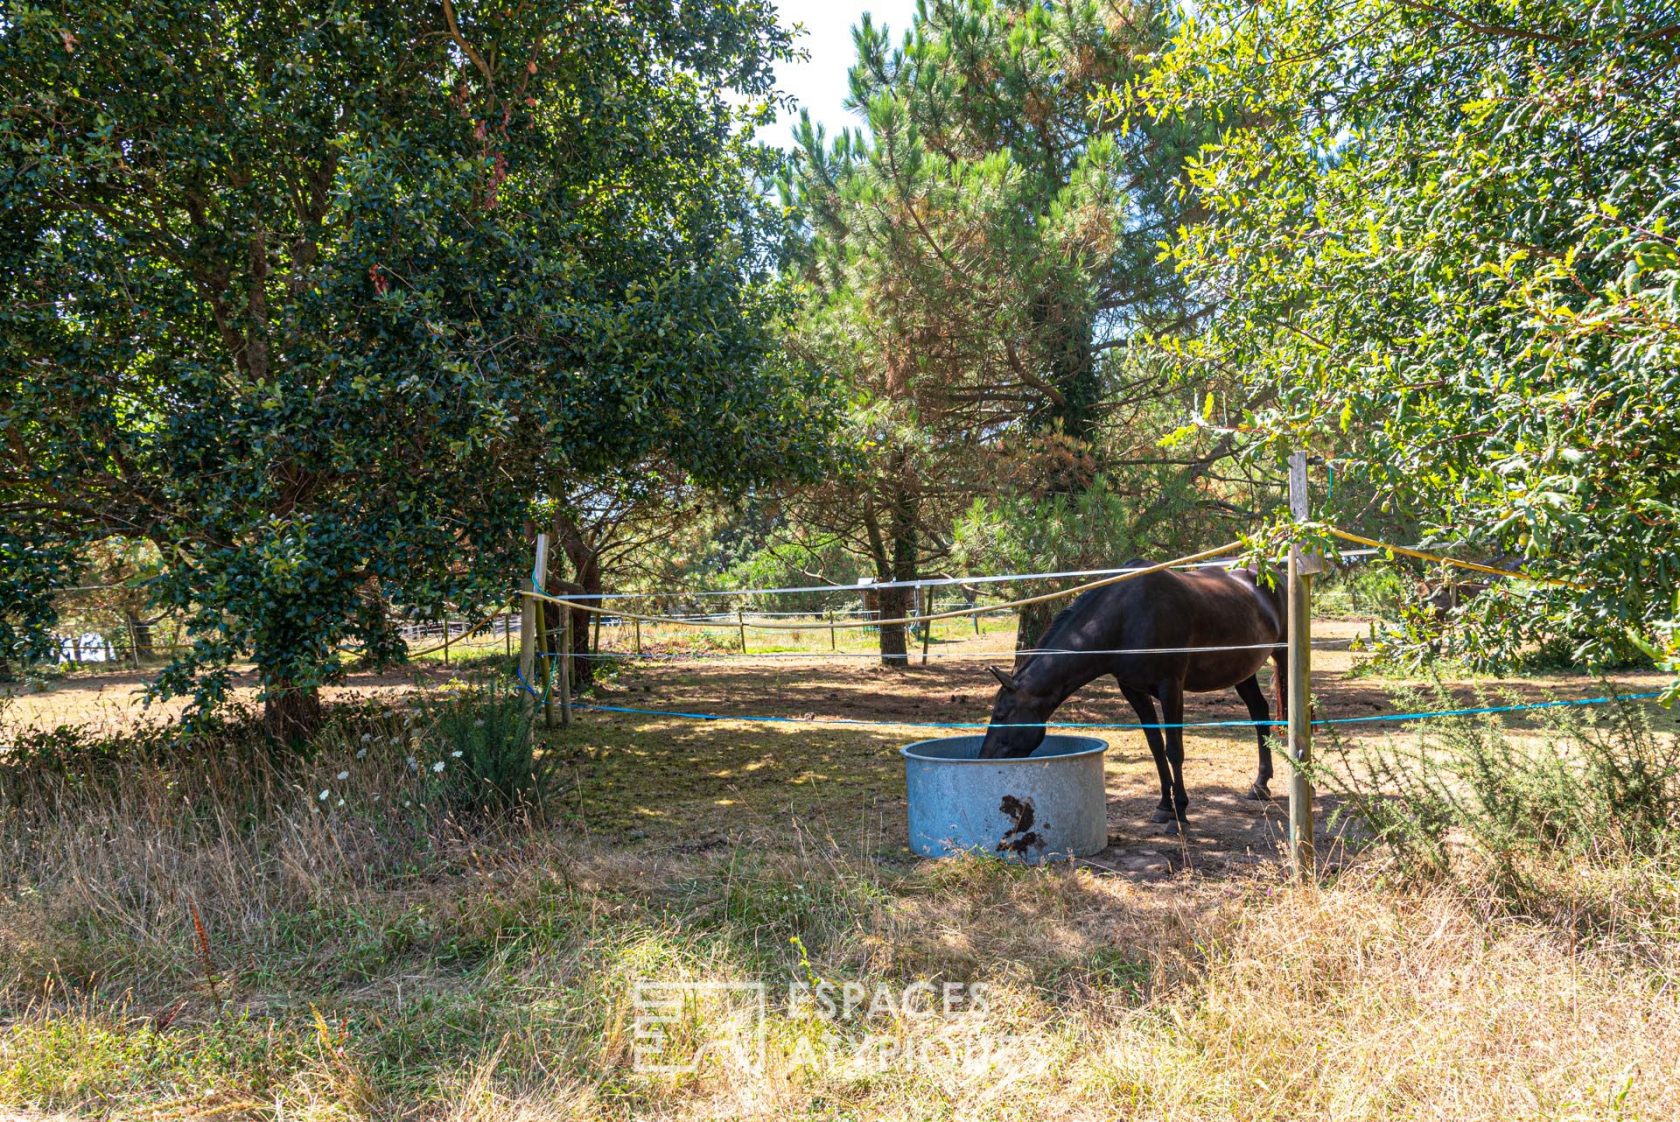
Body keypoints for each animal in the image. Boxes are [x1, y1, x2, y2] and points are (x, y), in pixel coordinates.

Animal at [974, 564, 1283, 829]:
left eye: (1000, 714)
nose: (984, 758)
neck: (1126, 617)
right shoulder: (1133, 690)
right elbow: (1156, 747)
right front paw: (1163, 807)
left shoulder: (1171, 688)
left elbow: (1174, 750)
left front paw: (1180, 814)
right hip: (1243, 670)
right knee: (1259, 711)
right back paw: (1260, 785)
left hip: (1281, 656)